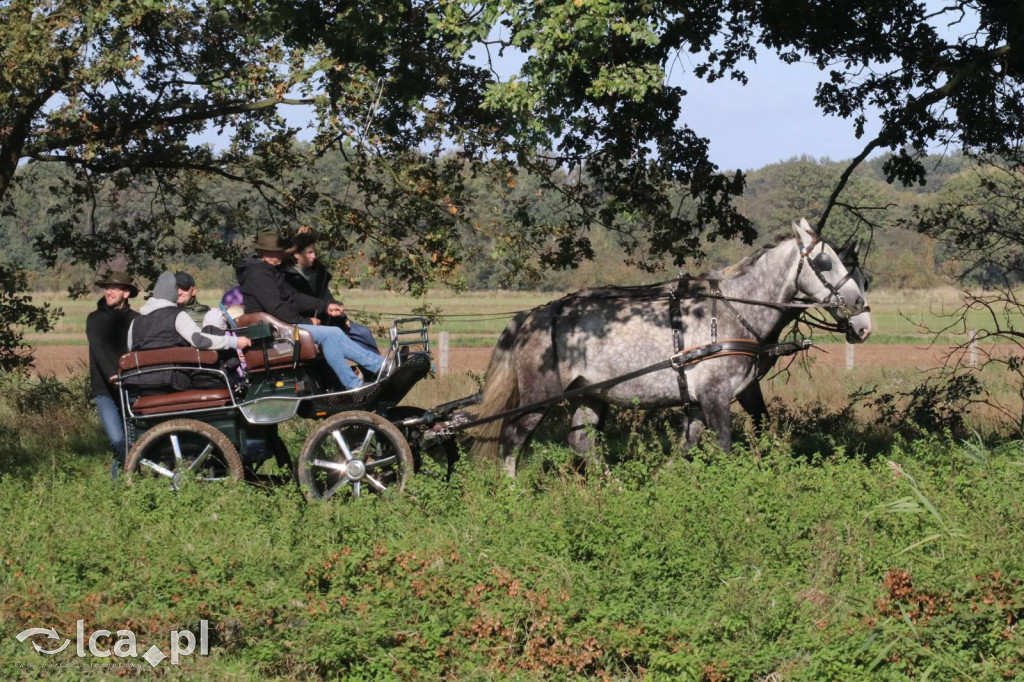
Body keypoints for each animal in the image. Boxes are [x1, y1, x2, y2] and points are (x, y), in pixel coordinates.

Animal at [473, 218, 872, 473]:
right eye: (825, 262)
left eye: (863, 277)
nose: (861, 317)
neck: (733, 309)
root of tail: (535, 316)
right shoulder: (714, 395)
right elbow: (724, 446)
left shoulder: (705, 398)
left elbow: (689, 444)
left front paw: (663, 479)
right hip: (540, 395)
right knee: (513, 438)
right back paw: (511, 496)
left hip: (590, 394)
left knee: (582, 440)